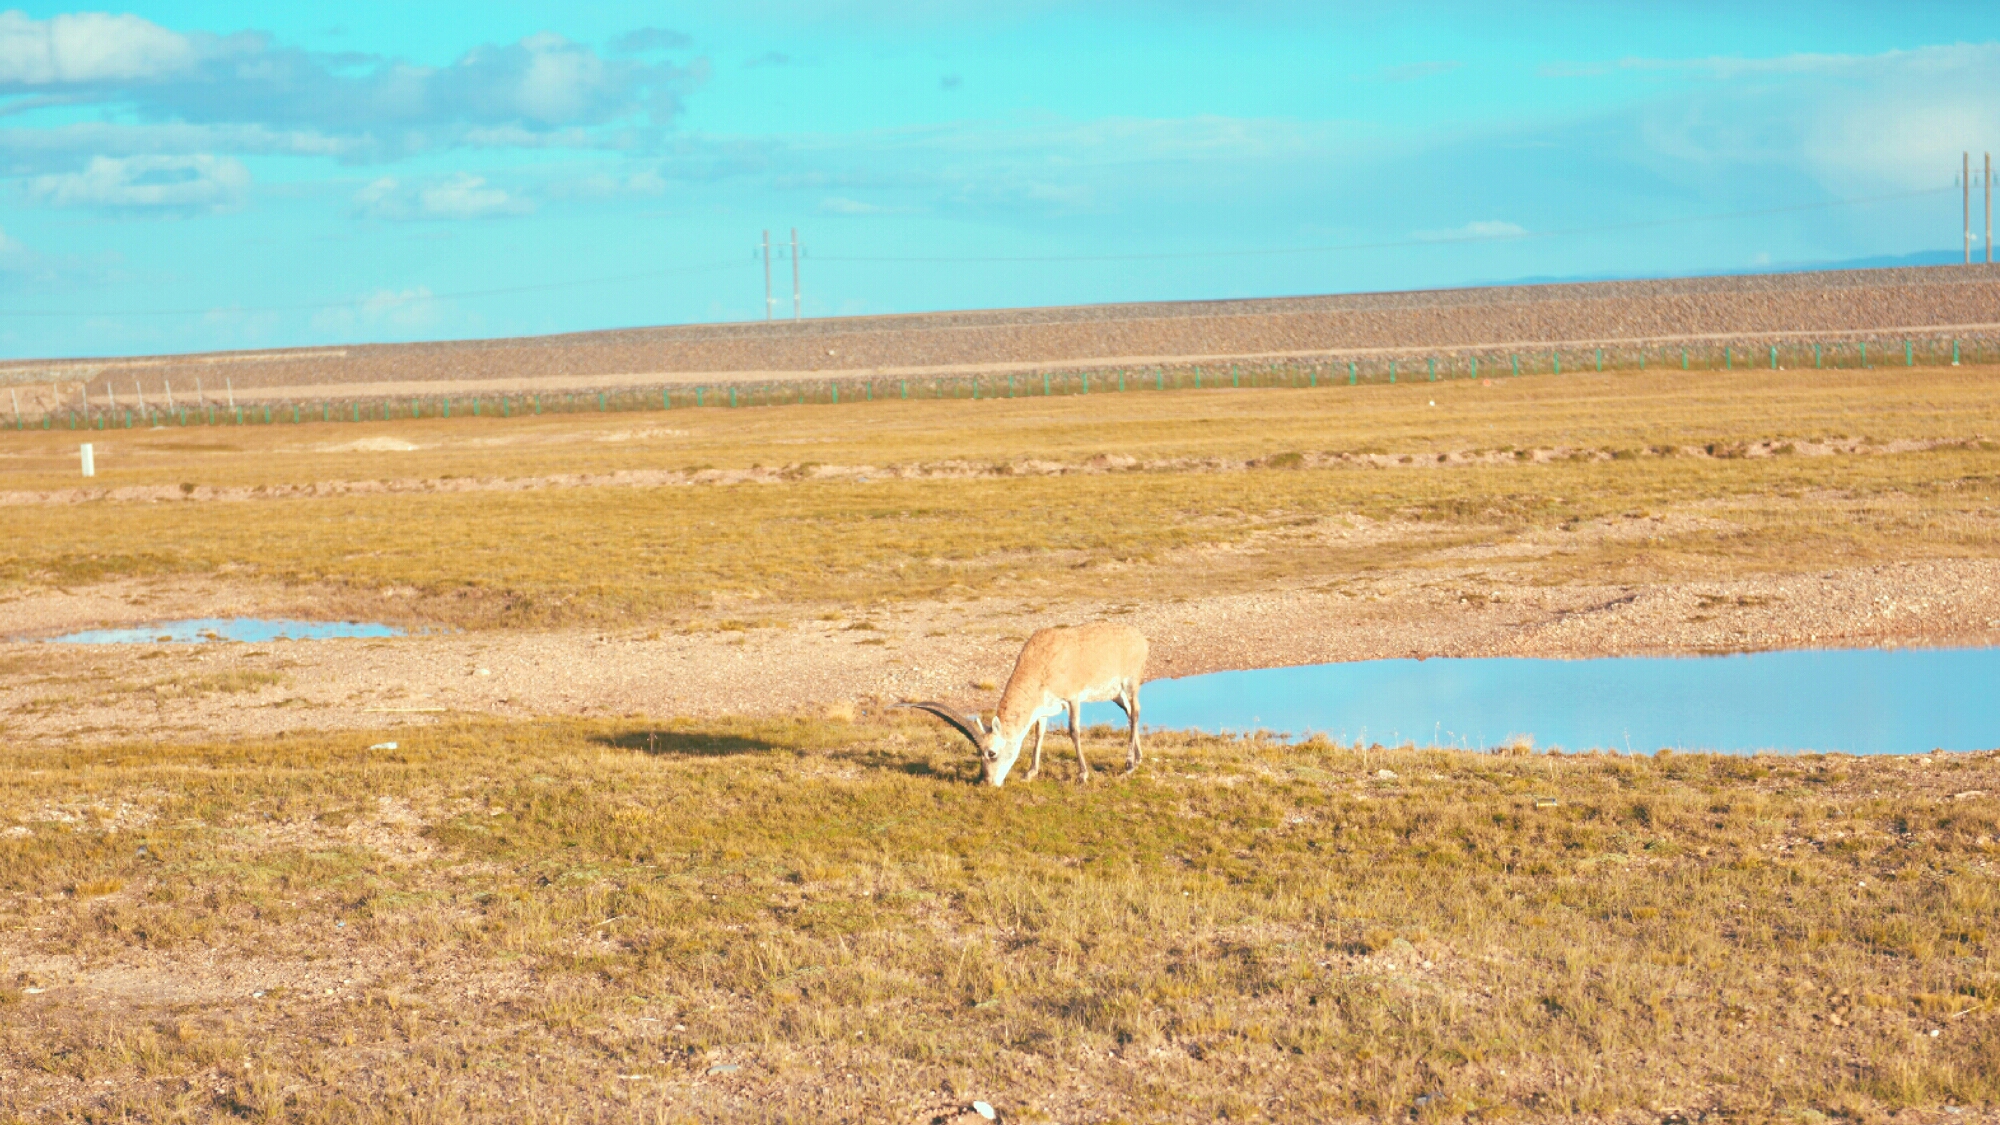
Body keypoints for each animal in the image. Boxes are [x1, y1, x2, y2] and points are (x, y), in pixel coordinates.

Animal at [900, 616, 1152, 784]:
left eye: (991, 753)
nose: (987, 782)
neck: (1041, 660)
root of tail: (1139, 637)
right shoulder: (1042, 709)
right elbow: (1038, 734)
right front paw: (1030, 773)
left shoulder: (1072, 699)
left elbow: (1074, 731)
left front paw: (1082, 774)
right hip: (1116, 694)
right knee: (1130, 713)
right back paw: (1138, 759)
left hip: (1131, 683)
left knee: (1136, 711)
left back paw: (1129, 764)